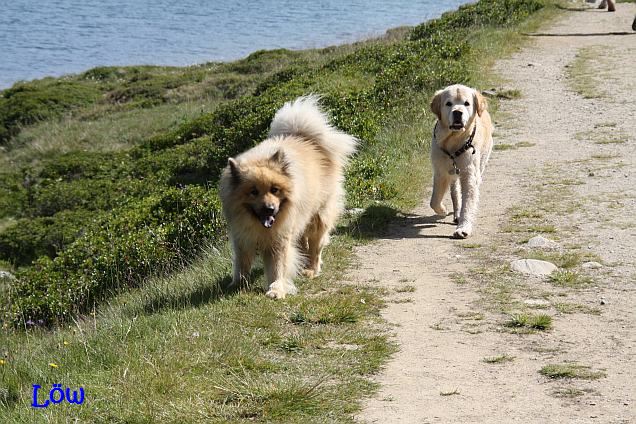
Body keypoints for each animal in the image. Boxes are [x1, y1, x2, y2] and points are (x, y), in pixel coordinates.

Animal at [219, 97, 358, 298]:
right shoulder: (242, 238)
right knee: (303, 242)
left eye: (275, 189)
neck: (260, 225)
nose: (270, 209)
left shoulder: (280, 238)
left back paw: (311, 269)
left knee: (316, 247)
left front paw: (277, 289)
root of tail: (305, 137)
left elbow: (279, 266)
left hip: (318, 216)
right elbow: (241, 264)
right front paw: (237, 284)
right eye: (253, 192)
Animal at [430, 83, 494, 238]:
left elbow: (468, 202)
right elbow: (434, 200)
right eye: (448, 103)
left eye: (467, 103)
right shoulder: (440, 171)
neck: (453, 141)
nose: (457, 113)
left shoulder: (469, 174)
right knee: (455, 191)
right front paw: (443, 210)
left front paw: (463, 228)